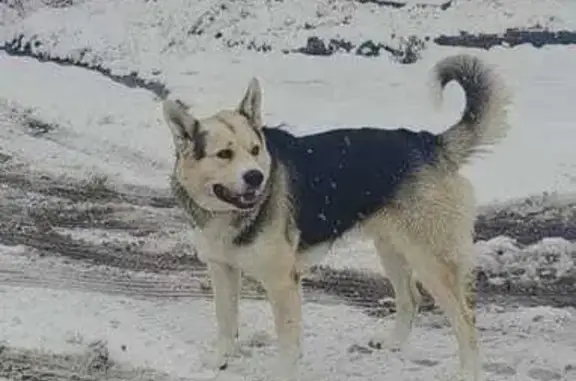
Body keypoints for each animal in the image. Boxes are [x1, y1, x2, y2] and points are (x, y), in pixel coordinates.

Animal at [161, 54, 508, 380]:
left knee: (465, 319)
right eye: (224, 154)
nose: (256, 177)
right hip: (391, 249)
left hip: (431, 260)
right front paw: (219, 361)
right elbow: (225, 322)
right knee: (411, 298)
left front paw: (283, 374)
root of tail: (430, 142)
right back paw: (394, 344)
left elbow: (287, 343)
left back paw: (468, 372)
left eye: (255, 149)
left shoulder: (282, 283)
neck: (230, 214)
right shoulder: (221, 270)